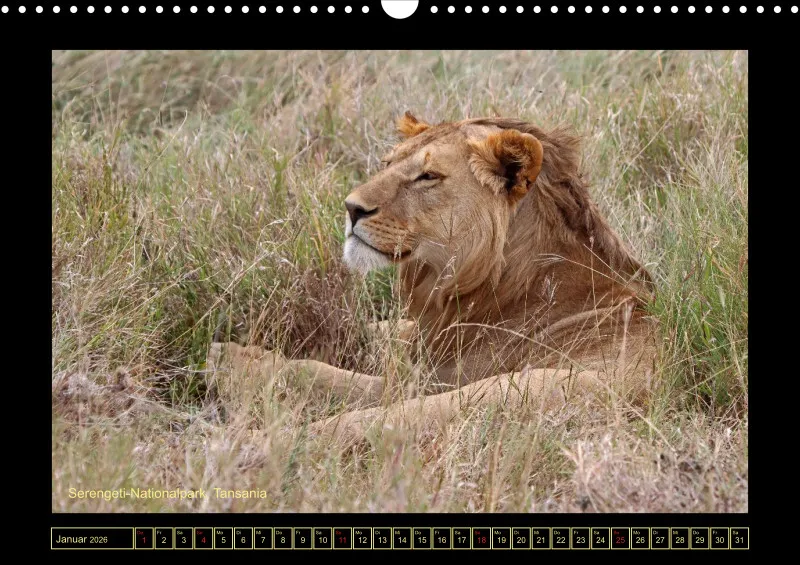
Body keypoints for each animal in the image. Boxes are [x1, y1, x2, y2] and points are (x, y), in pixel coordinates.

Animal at [208, 112, 658, 446]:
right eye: (388, 165)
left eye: (427, 176)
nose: (351, 208)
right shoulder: (422, 337)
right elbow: (368, 329)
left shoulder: (433, 372)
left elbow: (326, 371)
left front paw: (233, 355)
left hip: (513, 388)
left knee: (377, 415)